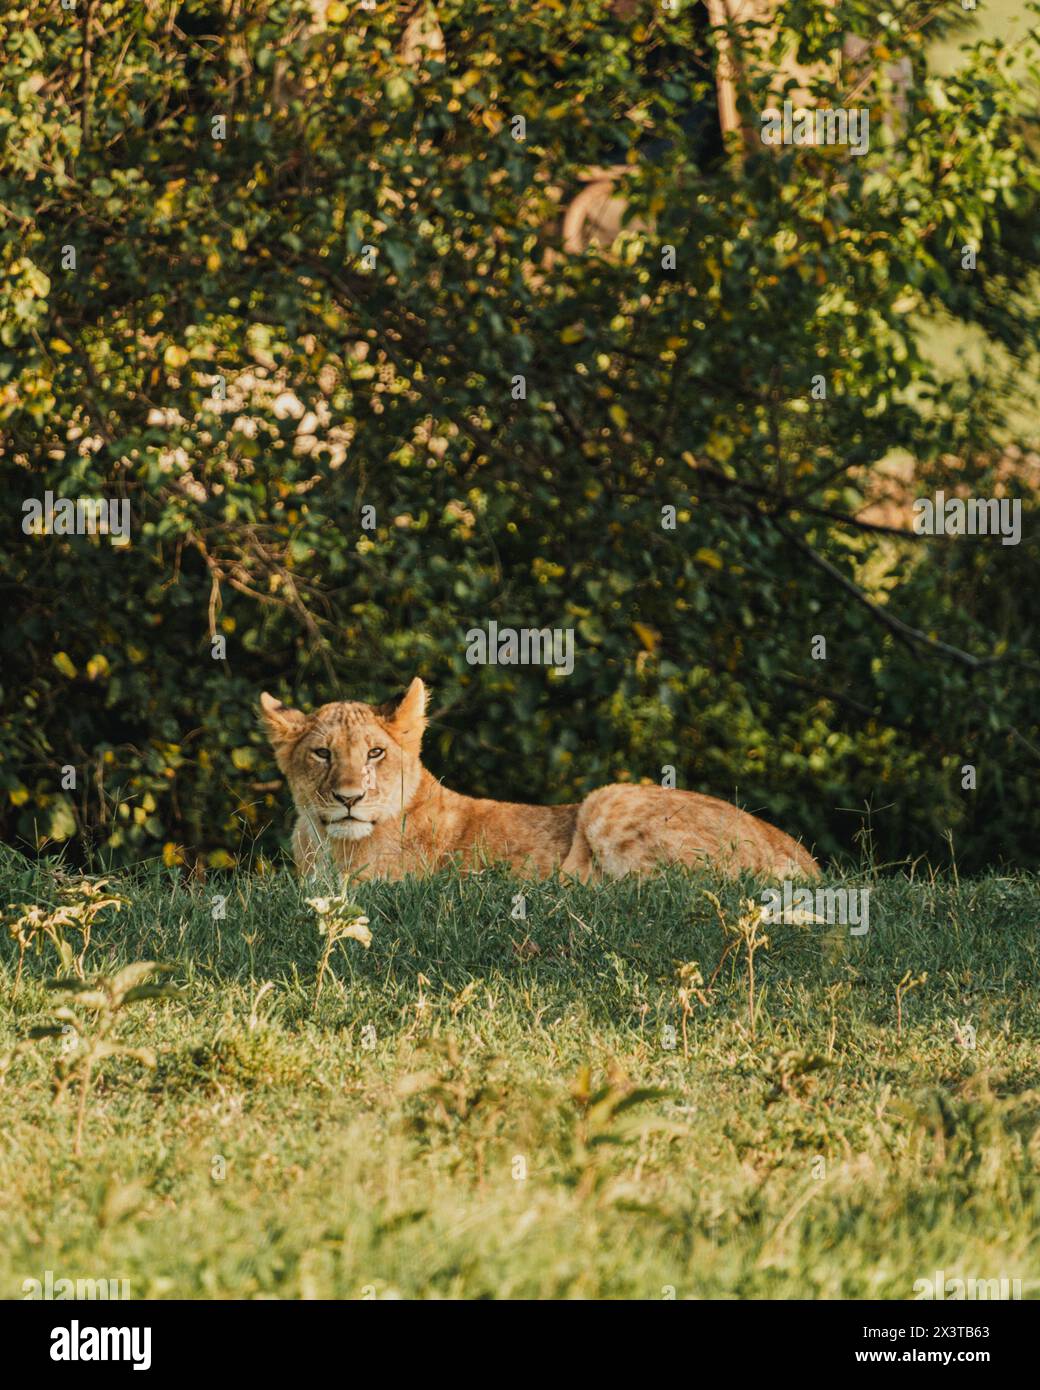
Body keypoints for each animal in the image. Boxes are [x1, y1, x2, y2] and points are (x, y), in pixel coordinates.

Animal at [260, 681, 823, 878]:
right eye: (322, 754)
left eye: (375, 752)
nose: (349, 798)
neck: (328, 845)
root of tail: (809, 865)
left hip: (607, 801)